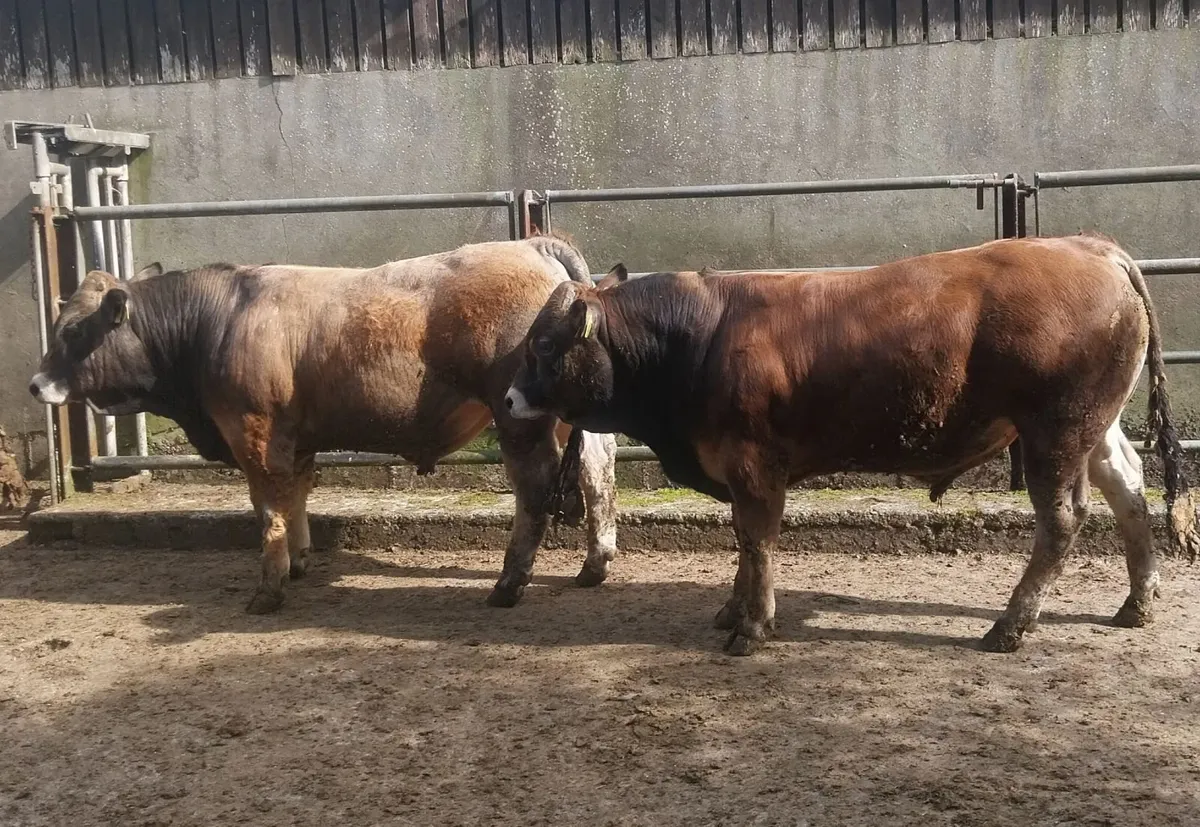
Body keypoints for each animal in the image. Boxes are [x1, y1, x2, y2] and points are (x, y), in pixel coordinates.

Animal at [30, 236, 620, 613]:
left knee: (535, 490)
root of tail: (532, 244)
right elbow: (296, 496)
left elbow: (268, 507)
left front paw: (268, 589)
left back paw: (508, 584)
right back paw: (594, 566)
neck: (218, 320)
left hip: (517, 416)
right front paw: (298, 561)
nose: (36, 384)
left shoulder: (254, 431)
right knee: (598, 470)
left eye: (73, 333)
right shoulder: (295, 437)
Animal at [505, 234, 1200, 655]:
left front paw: (752, 626)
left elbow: (757, 541)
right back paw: (1137, 602)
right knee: (1130, 492)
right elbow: (743, 542)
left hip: (1055, 435)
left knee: (1063, 519)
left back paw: (1010, 625)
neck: (700, 336)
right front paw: (733, 610)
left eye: (545, 345)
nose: (509, 400)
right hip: (1093, 430)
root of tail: (1090, 246)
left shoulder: (755, 465)